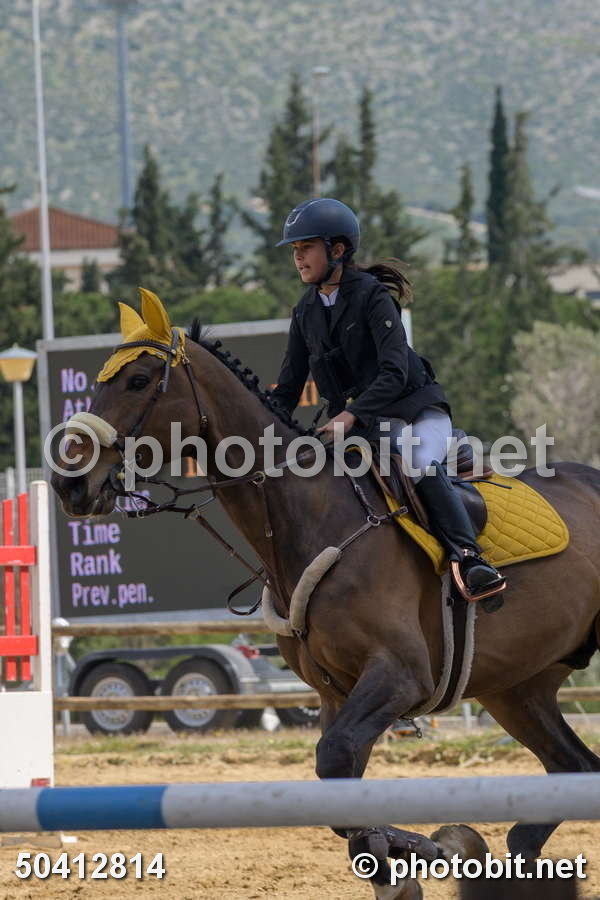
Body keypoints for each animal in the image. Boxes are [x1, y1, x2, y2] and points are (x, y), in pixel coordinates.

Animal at [51, 292, 600, 899]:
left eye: (139, 380)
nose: (69, 482)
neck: (311, 517)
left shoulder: (401, 675)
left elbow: (333, 761)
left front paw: (430, 848)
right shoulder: (335, 692)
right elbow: (338, 793)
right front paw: (403, 858)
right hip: (518, 686)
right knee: (574, 768)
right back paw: (516, 852)